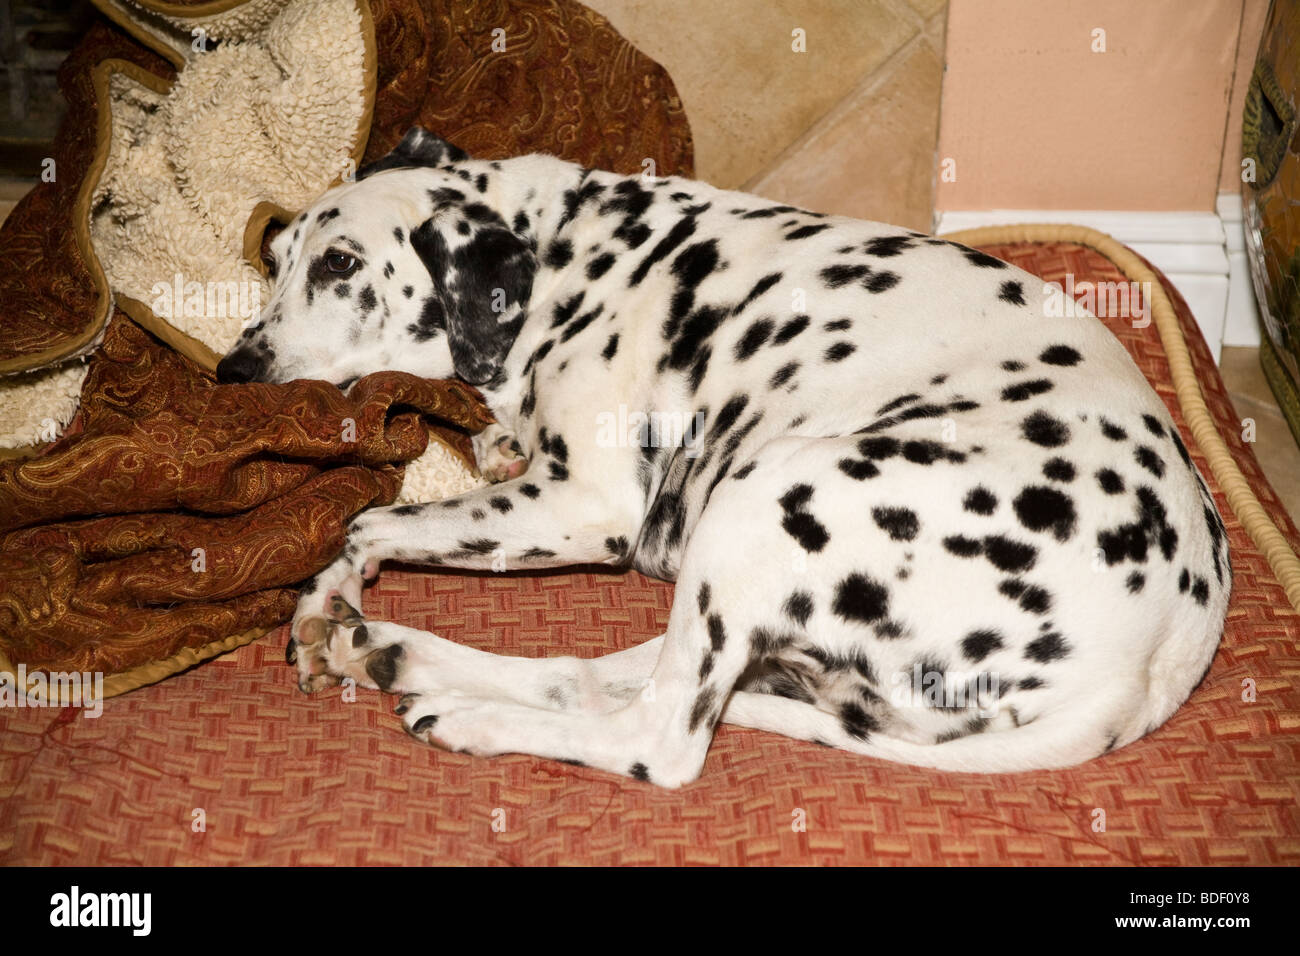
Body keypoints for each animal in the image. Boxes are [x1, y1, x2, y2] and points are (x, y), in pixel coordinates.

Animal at [220, 127, 1227, 785]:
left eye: (341, 264)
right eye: (279, 253)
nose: (233, 370)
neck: (569, 251)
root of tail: (1152, 665)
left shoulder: (582, 505)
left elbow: (365, 519)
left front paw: (330, 583)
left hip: (763, 501)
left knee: (658, 741)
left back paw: (468, 715)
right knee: (589, 679)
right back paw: (397, 655)